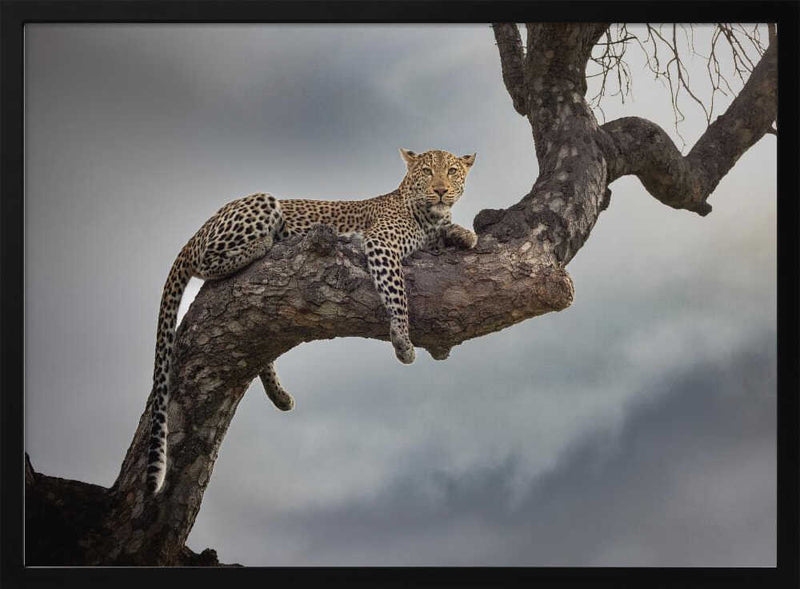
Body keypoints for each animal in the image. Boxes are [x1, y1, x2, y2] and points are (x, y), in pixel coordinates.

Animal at [146, 148, 477, 495]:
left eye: (452, 171)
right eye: (427, 172)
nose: (440, 190)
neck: (428, 216)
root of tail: (200, 228)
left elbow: (449, 232)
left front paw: (464, 234)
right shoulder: (381, 244)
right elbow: (397, 291)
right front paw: (403, 340)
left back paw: (279, 394)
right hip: (261, 203)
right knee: (207, 262)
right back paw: (263, 244)